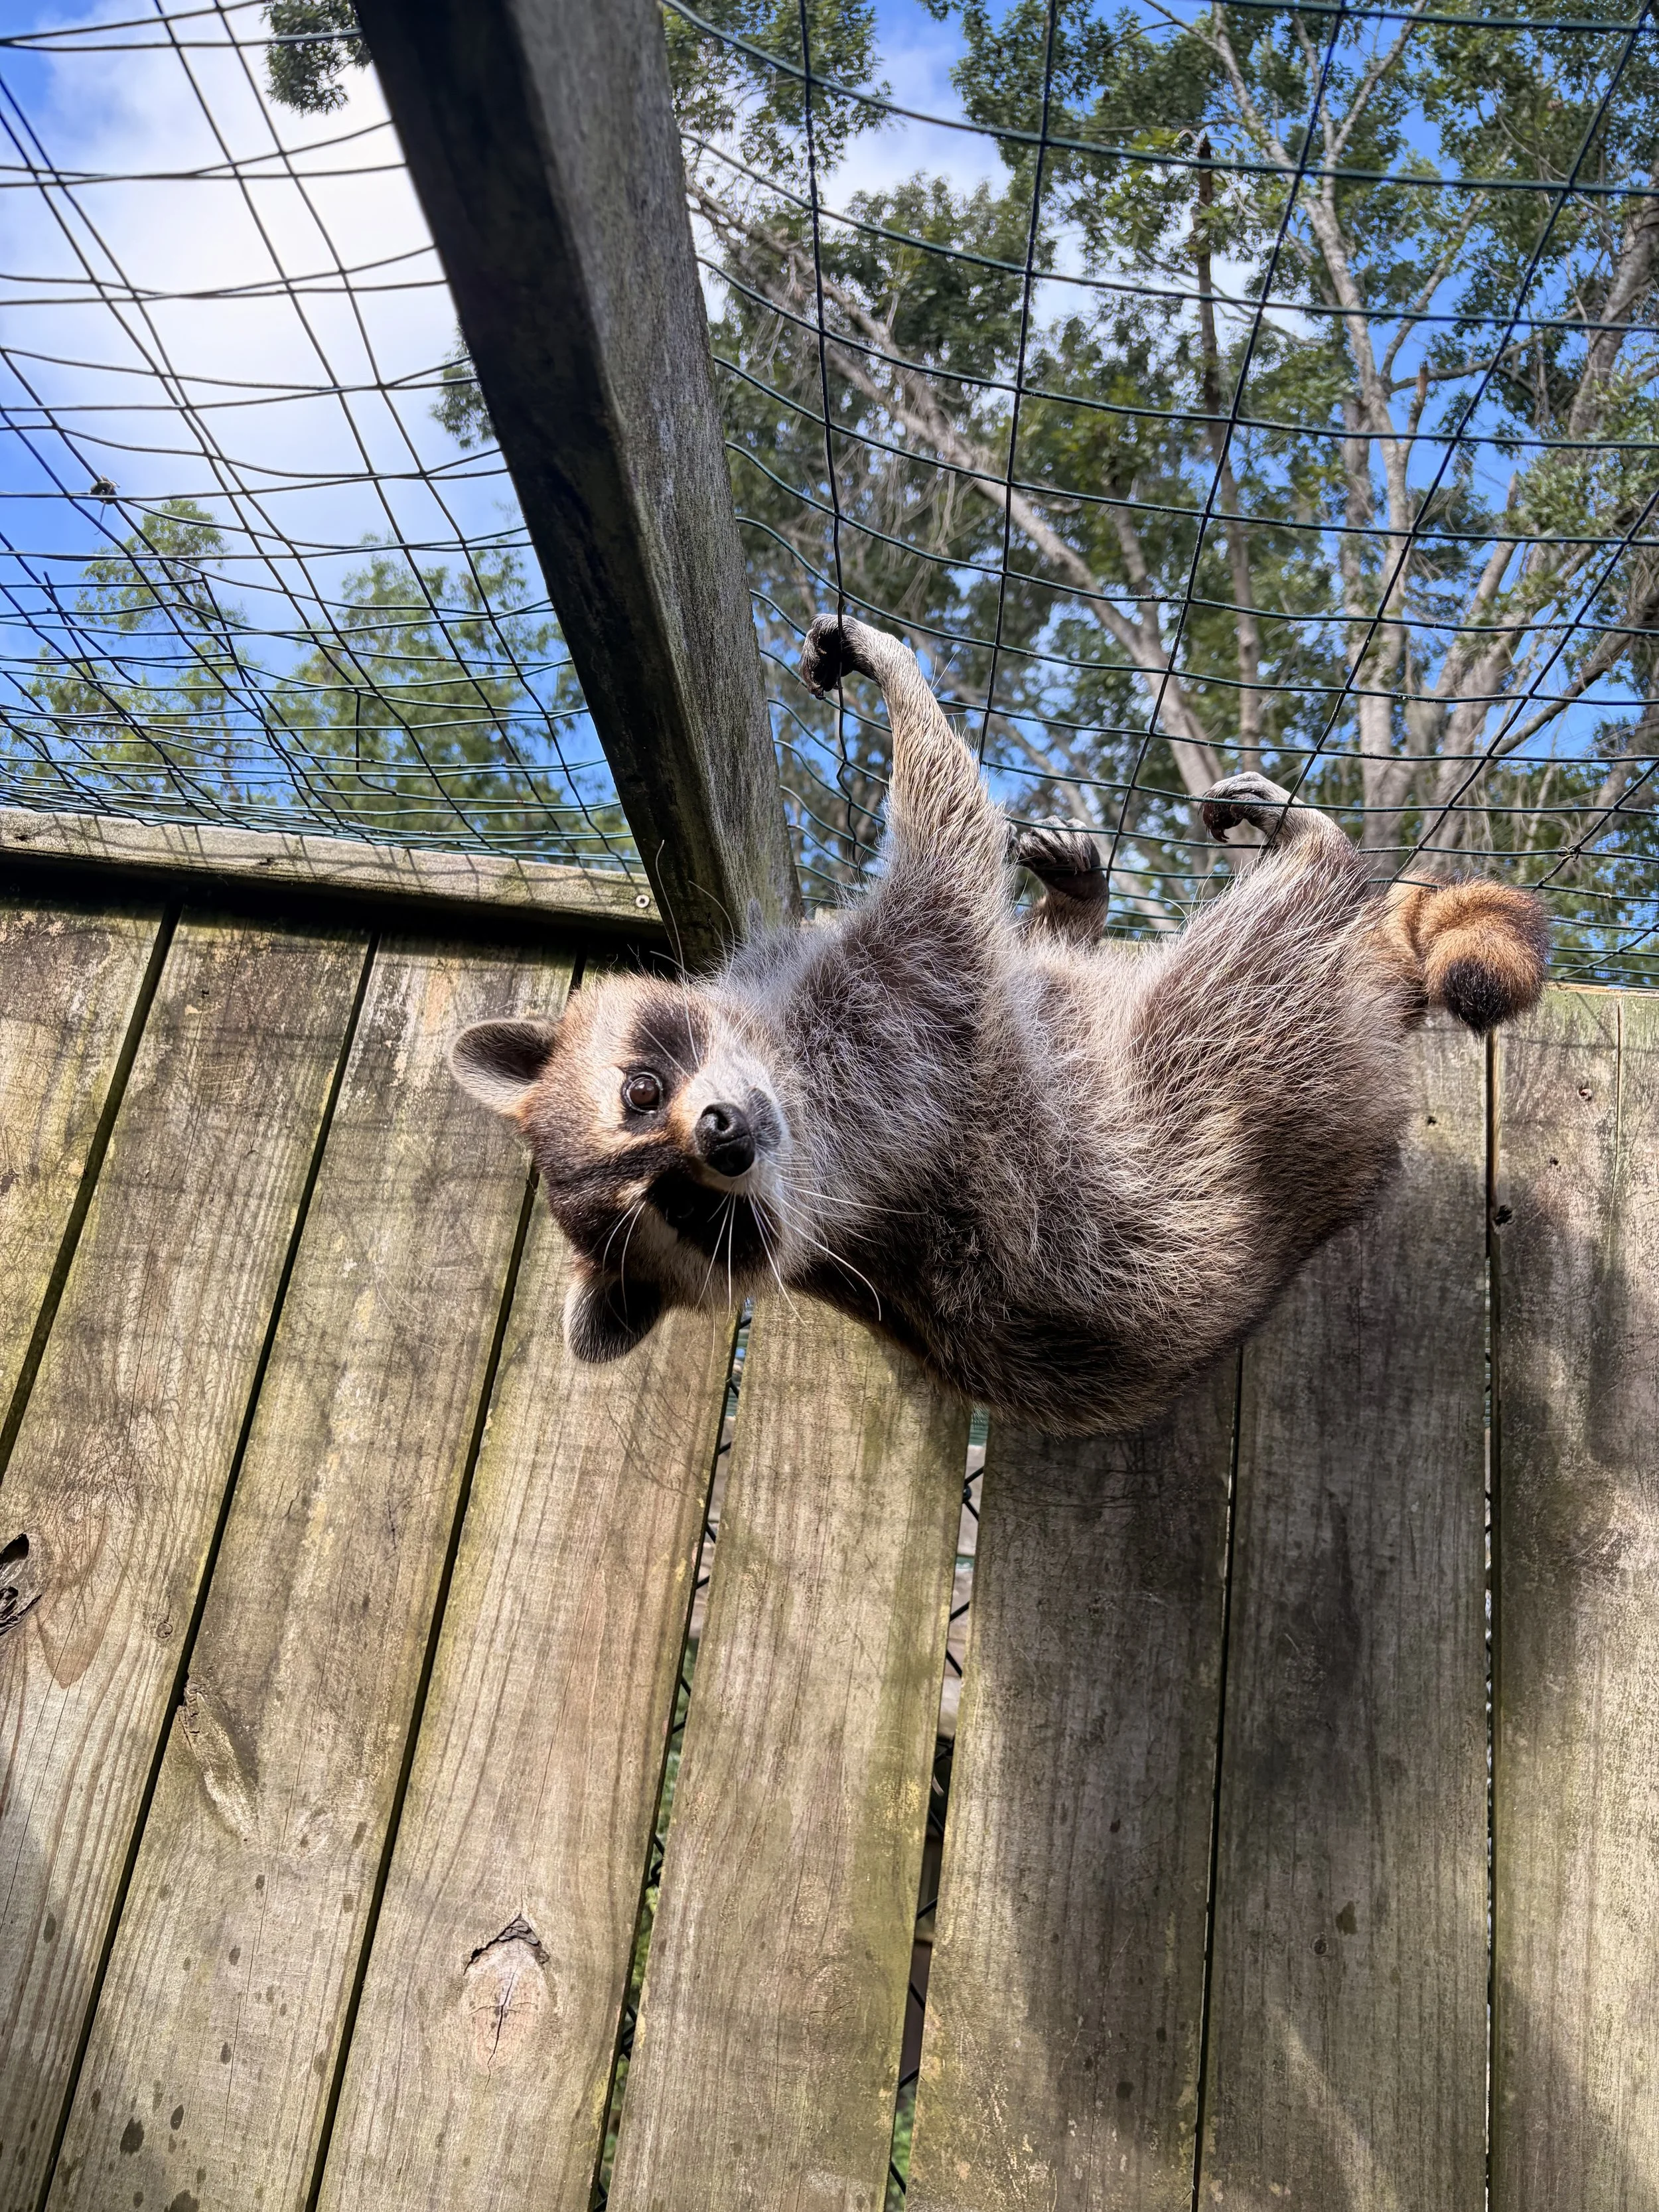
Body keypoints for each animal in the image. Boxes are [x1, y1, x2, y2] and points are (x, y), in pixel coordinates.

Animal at [451, 613, 1547, 1435]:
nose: (720, 1137)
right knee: (1251, 957)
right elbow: (949, 840)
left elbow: (1030, 953)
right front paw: (897, 671)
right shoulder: (896, 1045)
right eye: (684, 1209)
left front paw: (1071, 903)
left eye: (641, 1093)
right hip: (1252, 1069)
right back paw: (1316, 851)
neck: (777, 1063)